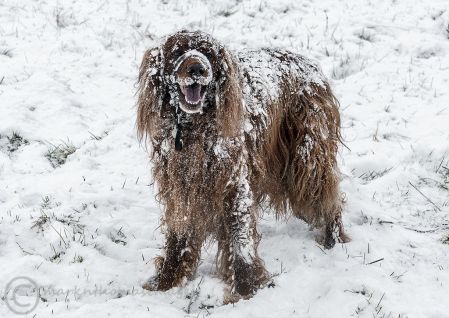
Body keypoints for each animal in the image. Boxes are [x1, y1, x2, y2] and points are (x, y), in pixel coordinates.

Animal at [137, 29, 350, 300]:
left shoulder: (234, 185)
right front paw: (168, 279)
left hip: (309, 156)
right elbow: (179, 234)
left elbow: (240, 239)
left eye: (207, 52)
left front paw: (247, 286)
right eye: (179, 50)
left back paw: (332, 238)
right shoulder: (181, 189)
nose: (197, 68)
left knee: (328, 195)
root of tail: (312, 66)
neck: (194, 128)